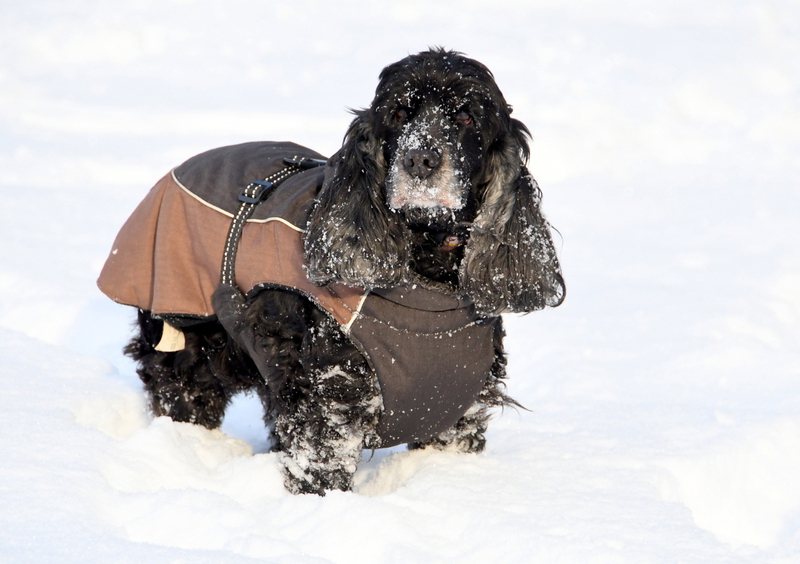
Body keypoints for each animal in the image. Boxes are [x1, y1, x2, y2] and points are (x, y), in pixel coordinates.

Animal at [99, 48, 565, 495]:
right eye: (398, 114)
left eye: (468, 116)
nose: (420, 159)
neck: (426, 273)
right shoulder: (329, 401)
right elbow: (320, 469)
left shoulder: (455, 406)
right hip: (185, 340)